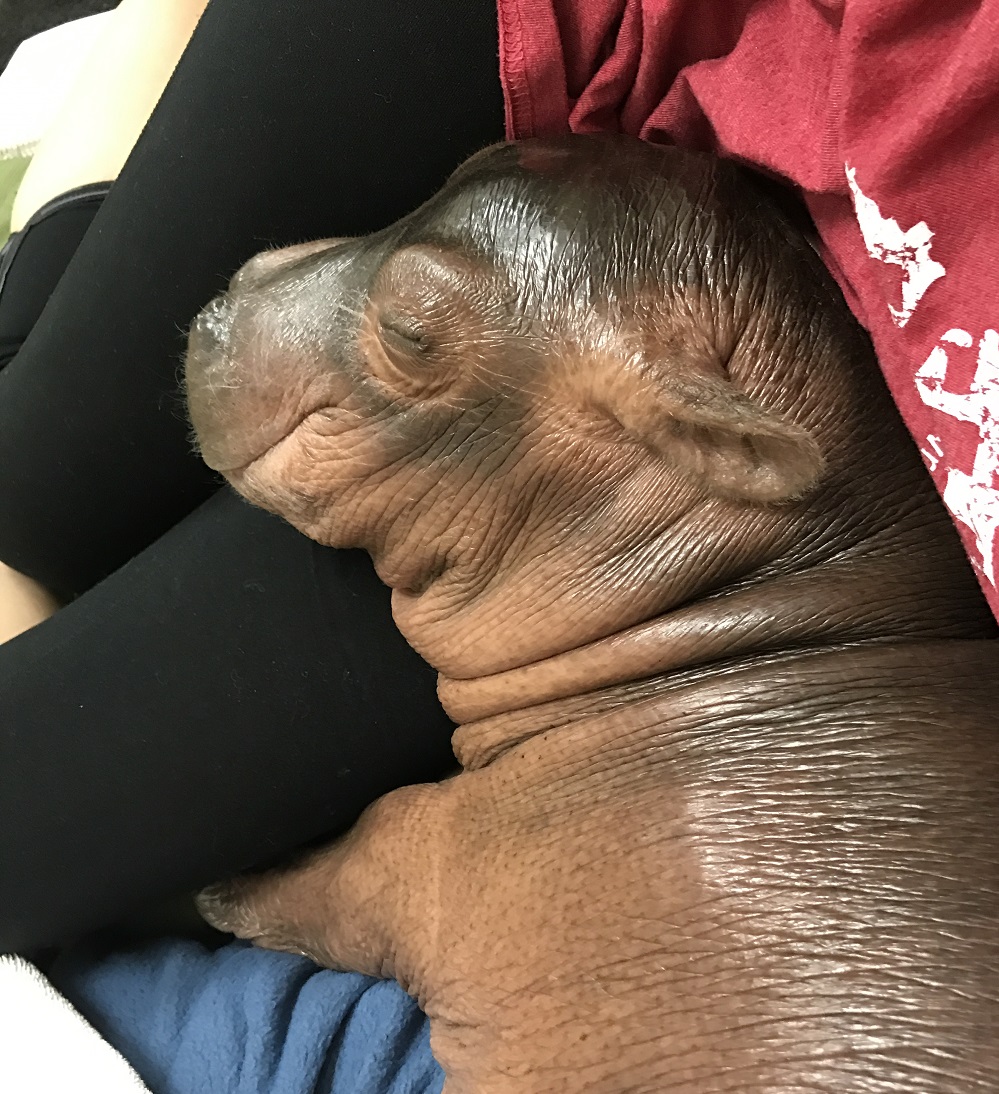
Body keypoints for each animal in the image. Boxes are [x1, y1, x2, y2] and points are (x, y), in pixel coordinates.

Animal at [185, 137, 999, 1093]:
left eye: (410, 332)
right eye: (490, 148)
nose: (215, 309)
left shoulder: (412, 850)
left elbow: (316, 883)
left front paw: (218, 892)